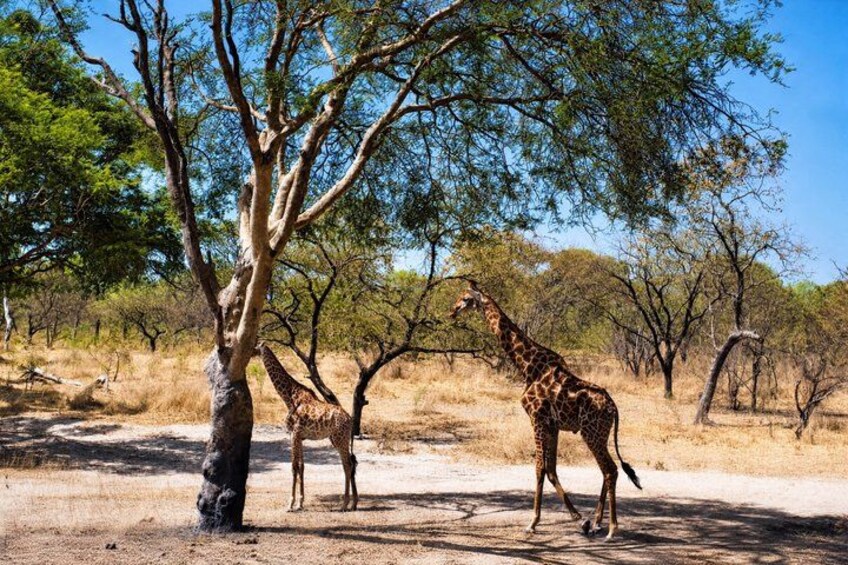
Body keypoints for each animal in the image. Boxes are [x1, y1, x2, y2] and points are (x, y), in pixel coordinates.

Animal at [256, 343, 358, 511]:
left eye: (255, 346)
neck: (288, 396)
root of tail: (350, 419)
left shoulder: (293, 433)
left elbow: (294, 467)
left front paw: (290, 504)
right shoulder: (301, 437)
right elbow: (302, 467)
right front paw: (300, 503)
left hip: (340, 439)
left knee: (347, 465)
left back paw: (345, 504)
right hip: (338, 439)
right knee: (351, 463)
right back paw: (354, 503)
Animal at [450, 281, 641, 540]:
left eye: (465, 298)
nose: (451, 311)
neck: (527, 365)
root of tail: (613, 407)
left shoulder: (537, 418)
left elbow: (539, 468)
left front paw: (532, 522)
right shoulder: (553, 425)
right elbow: (551, 469)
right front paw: (580, 519)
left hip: (591, 433)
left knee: (610, 470)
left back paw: (611, 528)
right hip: (598, 434)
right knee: (606, 471)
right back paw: (598, 522)